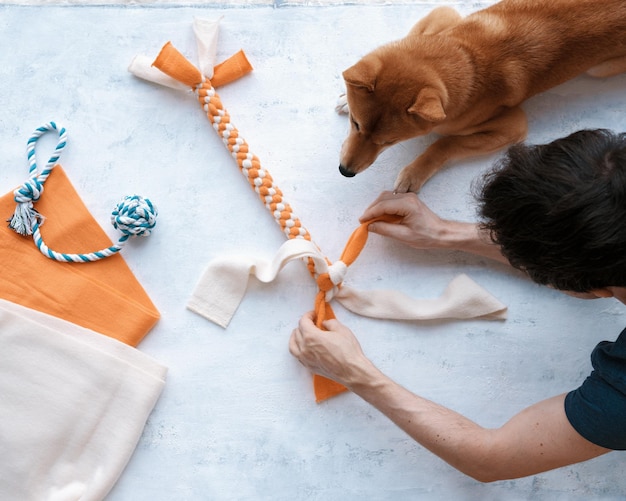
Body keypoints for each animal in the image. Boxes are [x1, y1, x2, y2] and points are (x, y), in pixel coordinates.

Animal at [338, 0, 624, 192]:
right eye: (355, 124)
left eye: (389, 142)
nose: (345, 172)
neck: (467, 57)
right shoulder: (442, 16)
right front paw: (344, 97)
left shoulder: (513, 126)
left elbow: (445, 144)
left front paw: (415, 172)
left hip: (600, 69)